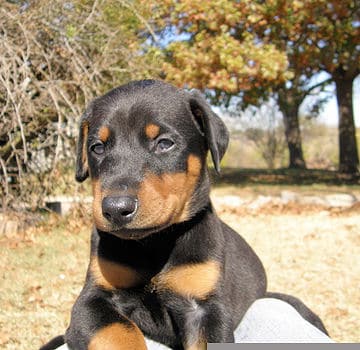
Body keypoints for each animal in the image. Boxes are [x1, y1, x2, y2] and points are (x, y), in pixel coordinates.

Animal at [40, 80, 328, 350]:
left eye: (165, 143)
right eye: (97, 148)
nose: (115, 208)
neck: (155, 243)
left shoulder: (204, 310)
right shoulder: (92, 300)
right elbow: (120, 333)